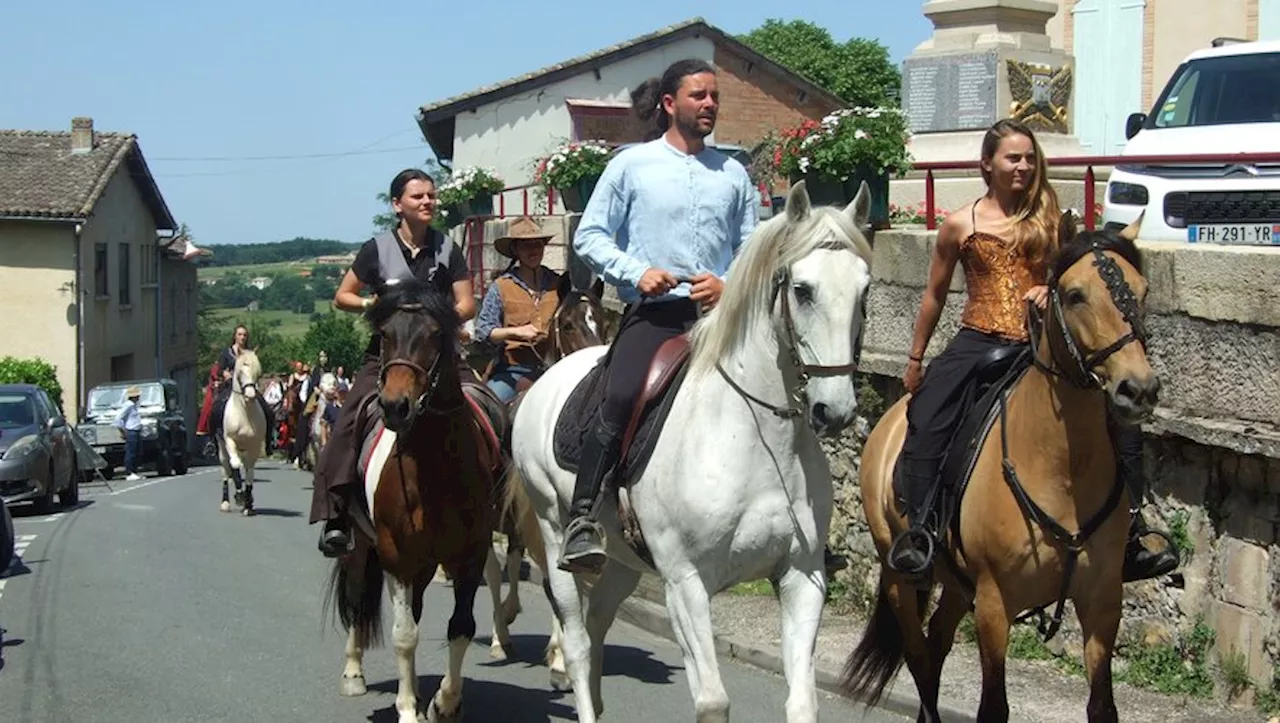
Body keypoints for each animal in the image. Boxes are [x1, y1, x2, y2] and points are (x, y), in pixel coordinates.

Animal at [218, 348, 266, 511]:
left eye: (257, 372)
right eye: (240, 370)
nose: (250, 394)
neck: (244, 413)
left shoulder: (254, 445)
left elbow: (250, 472)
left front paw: (248, 503)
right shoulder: (229, 440)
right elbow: (235, 466)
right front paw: (240, 496)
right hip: (222, 447)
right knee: (227, 469)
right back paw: (226, 502)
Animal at [325, 277, 494, 721]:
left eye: (434, 335)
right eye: (385, 335)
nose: (395, 406)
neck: (436, 468)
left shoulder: (470, 555)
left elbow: (461, 627)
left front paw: (444, 703)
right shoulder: (396, 556)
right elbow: (404, 635)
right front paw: (406, 709)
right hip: (360, 549)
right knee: (357, 601)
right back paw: (354, 674)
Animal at [504, 181, 875, 721]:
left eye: (865, 290)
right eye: (802, 290)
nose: (836, 409)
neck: (754, 436)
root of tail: (543, 382)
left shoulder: (803, 577)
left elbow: (803, 702)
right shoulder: (685, 583)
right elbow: (713, 700)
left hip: (622, 563)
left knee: (596, 629)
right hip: (555, 539)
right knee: (574, 642)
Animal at [839, 211, 1162, 721]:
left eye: (1143, 290)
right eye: (1075, 295)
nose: (1139, 390)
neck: (1062, 467)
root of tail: (890, 417)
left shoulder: (1103, 601)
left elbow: (1102, 707)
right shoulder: (994, 603)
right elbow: (993, 706)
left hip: (956, 585)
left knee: (935, 646)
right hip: (899, 576)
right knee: (918, 654)